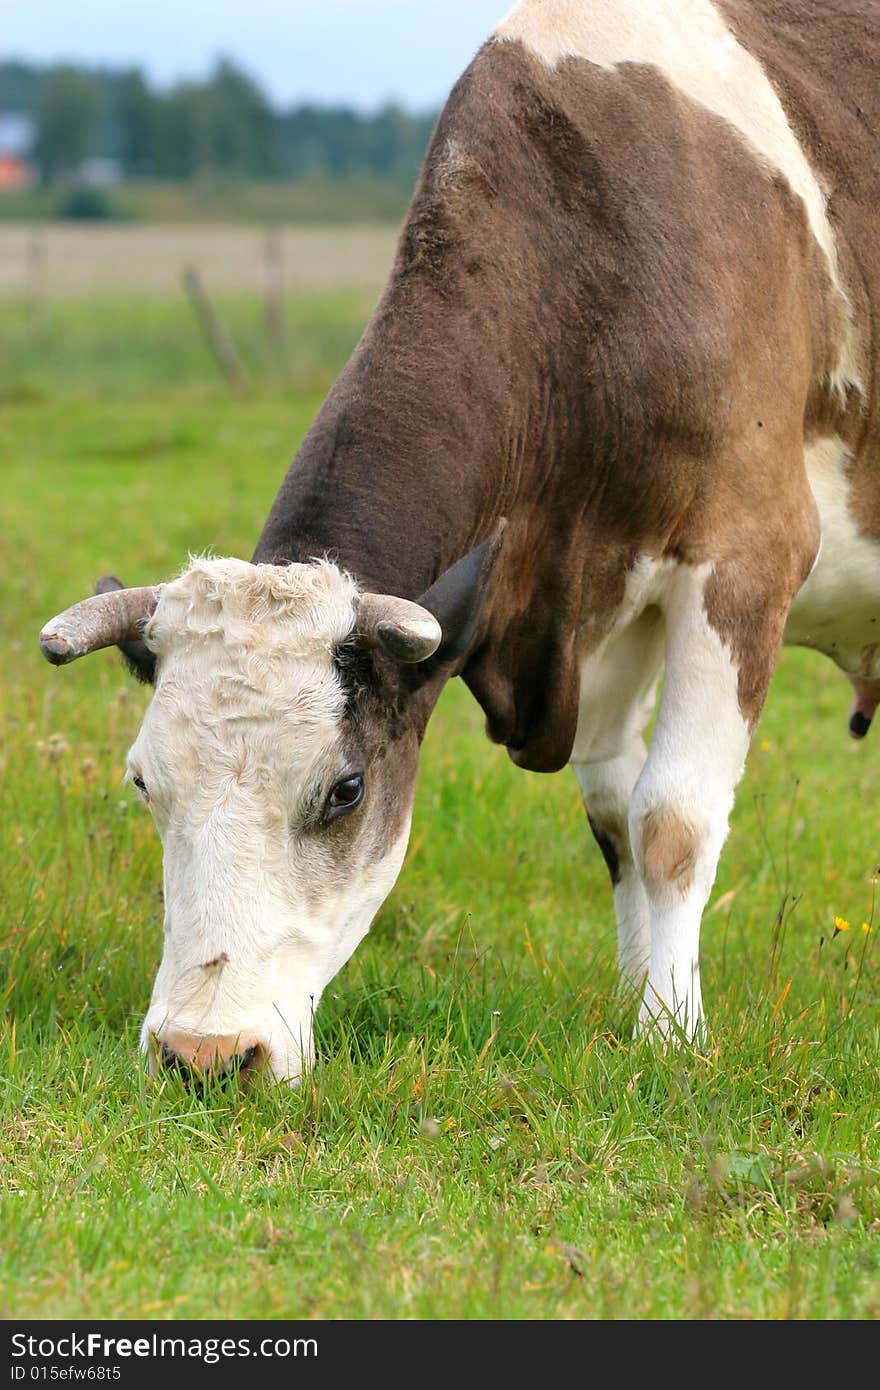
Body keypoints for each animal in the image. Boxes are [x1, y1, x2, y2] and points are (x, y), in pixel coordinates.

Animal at [39, 2, 878, 1084]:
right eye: (144, 781)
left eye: (345, 790)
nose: (205, 1054)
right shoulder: (601, 604)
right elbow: (613, 813)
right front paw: (634, 1004)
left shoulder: (745, 555)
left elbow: (671, 821)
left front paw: (671, 1036)